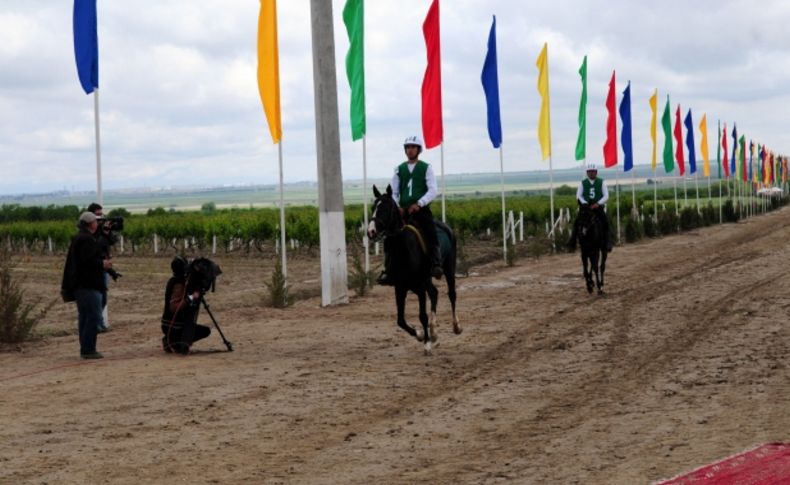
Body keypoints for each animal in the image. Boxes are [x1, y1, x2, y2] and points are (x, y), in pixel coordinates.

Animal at [368, 183, 460, 354]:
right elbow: (400, 320)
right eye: (373, 207)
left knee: (451, 293)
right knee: (435, 293)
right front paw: (419, 334)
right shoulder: (400, 287)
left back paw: (456, 326)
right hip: (426, 280)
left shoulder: (419, 287)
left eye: (385, 208)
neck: (403, 250)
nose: (371, 232)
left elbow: (422, 315)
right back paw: (433, 332)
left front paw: (427, 343)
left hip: (448, 269)